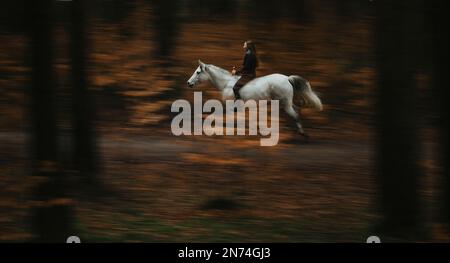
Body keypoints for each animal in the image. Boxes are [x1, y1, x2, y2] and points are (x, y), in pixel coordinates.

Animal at [187, 60, 324, 137]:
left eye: (198, 72)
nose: (188, 83)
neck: (226, 83)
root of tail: (287, 78)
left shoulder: (230, 106)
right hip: (286, 103)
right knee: (296, 110)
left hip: (285, 103)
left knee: (294, 114)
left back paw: (302, 133)